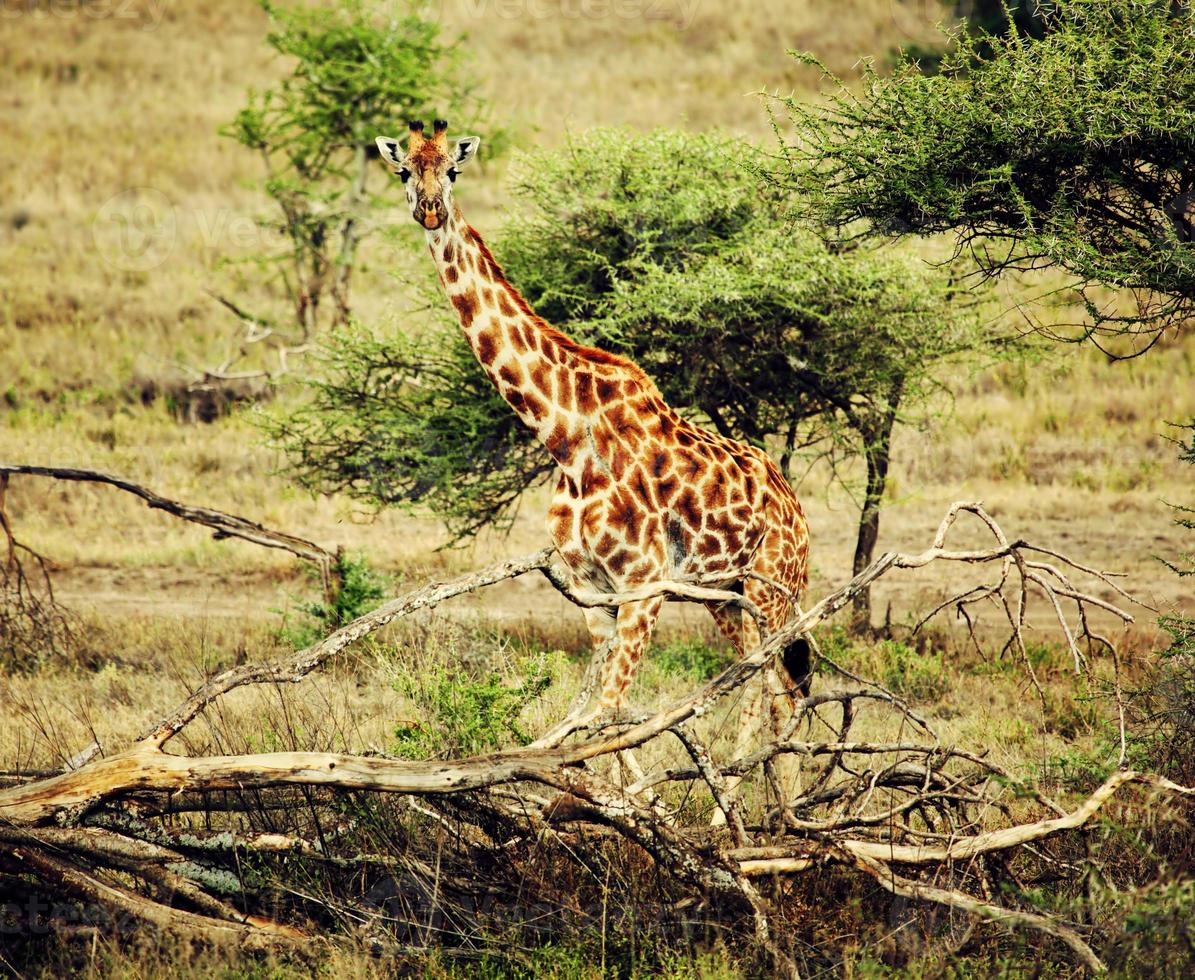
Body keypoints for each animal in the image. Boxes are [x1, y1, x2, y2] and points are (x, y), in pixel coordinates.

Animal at [377, 120, 817, 798]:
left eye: (452, 169)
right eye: (404, 170)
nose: (430, 211)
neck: (564, 435)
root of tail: (796, 507)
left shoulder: (644, 586)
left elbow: (610, 712)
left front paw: (641, 811)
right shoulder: (594, 592)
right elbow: (596, 717)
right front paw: (627, 804)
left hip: (774, 589)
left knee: (779, 691)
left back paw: (766, 814)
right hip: (725, 593)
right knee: (761, 684)